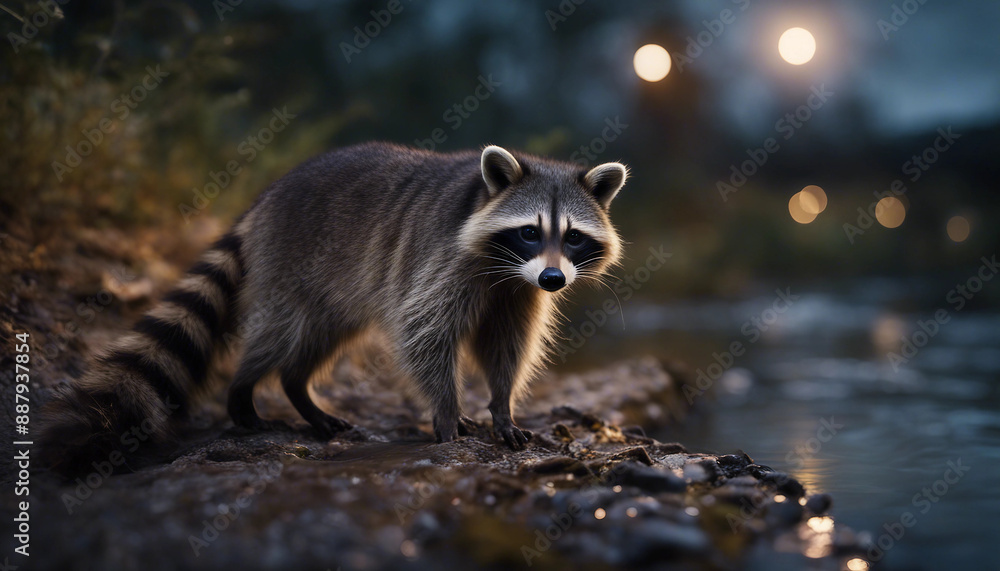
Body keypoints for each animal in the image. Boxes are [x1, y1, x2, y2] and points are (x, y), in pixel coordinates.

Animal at [39, 142, 627, 475]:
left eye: (573, 238)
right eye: (530, 231)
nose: (554, 279)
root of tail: (264, 198)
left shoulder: (516, 292)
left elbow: (507, 345)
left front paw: (502, 405)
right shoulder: (441, 259)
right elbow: (424, 332)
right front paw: (446, 410)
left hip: (334, 292)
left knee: (315, 342)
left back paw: (299, 390)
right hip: (289, 264)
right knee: (279, 334)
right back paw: (245, 388)